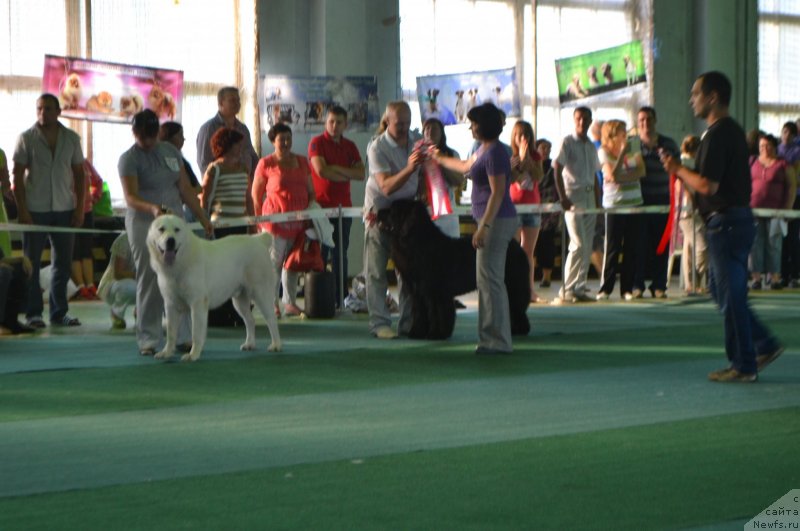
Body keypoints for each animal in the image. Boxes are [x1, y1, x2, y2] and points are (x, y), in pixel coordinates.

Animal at [146, 215, 282, 362]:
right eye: (161, 229)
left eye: (177, 230)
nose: (170, 241)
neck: (182, 259)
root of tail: (259, 240)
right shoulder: (171, 305)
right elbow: (171, 333)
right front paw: (166, 352)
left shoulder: (197, 303)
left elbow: (196, 332)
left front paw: (193, 354)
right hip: (239, 301)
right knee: (250, 320)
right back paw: (249, 344)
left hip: (261, 293)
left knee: (271, 319)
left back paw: (276, 345)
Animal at [376, 200, 532, 340]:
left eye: (392, 210)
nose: (377, 212)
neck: (417, 243)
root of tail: (517, 247)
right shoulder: (417, 292)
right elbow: (419, 312)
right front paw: (417, 333)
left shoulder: (435, 293)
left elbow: (437, 313)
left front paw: (436, 334)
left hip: (513, 285)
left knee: (516, 307)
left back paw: (519, 330)